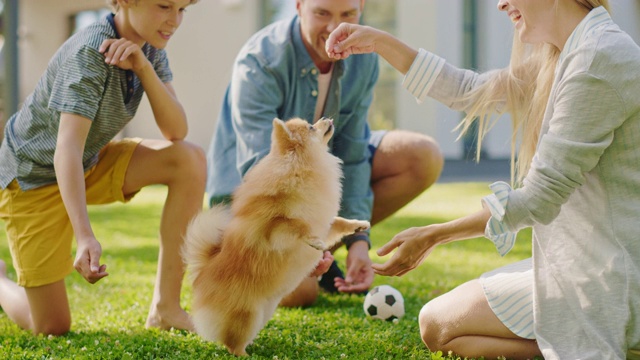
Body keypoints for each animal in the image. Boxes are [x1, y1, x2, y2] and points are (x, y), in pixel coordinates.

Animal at [182, 117, 370, 354]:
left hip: (263, 312)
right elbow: (295, 224)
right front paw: (314, 240)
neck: (303, 167)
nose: (327, 118)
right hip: (247, 313)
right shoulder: (272, 229)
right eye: (311, 127)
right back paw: (245, 354)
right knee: (232, 343)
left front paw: (358, 225)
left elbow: (338, 222)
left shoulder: (324, 223)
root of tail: (204, 270)